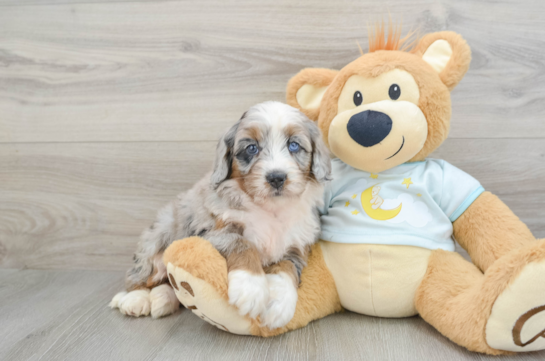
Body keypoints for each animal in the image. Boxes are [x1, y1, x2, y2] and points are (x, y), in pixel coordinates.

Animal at [109, 100, 332, 328]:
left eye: (293, 145)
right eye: (252, 148)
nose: (277, 177)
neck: (270, 209)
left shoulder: (298, 244)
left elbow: (287, 268)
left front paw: (279, 304)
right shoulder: (211, 232)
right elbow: (242, 243)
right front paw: (250, 287)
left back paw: (163, 299)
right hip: (156, 242)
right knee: (140, 276)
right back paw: (135, 299)